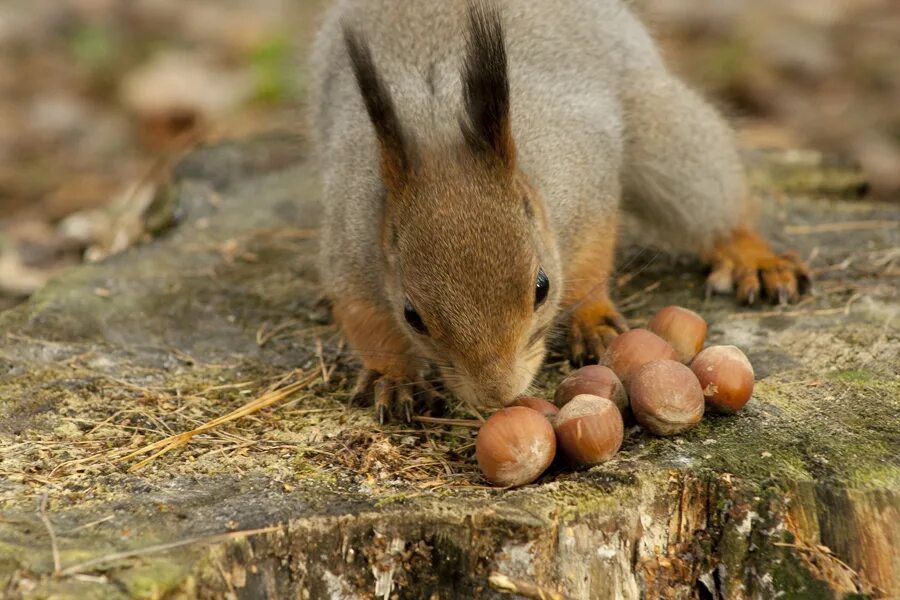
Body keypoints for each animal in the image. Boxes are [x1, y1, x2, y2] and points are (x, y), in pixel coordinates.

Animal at [308, 0, 808, 422]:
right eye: (412, 316)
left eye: (542, 287)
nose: (498, 395)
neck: (438, 131)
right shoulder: (350, 243)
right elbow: (365, 316)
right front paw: (393, 377)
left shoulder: (585, 187)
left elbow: (588, 262)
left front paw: (592, 319)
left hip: (661, 129)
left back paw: (752, 257)